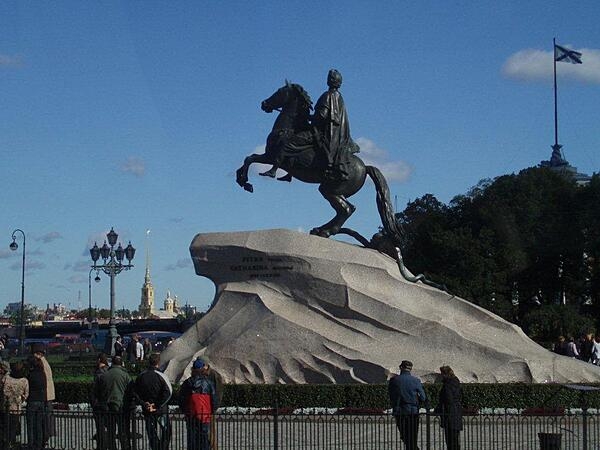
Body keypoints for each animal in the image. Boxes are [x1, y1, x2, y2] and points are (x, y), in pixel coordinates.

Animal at [234, 79, 404, 244]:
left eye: (279, 92)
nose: (264, 104)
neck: (287, 129)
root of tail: (365, 167)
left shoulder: (271, 156)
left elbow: (250, 159)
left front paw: (248, 181)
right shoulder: (267, 155)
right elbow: (248, 159)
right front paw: (242, 180)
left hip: (331, 190)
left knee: (346, 210)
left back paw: (325, 231)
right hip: (334, 191)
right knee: (349, 209)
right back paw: (320, 230)